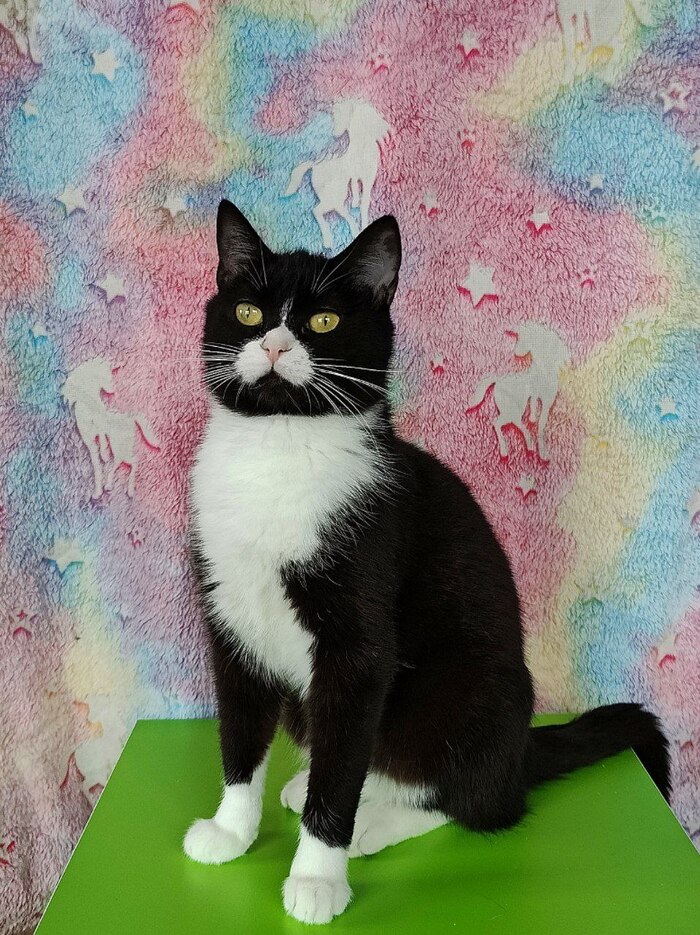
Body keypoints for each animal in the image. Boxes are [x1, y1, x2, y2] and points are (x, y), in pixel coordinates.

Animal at [183, 200, 669, 925]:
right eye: (246, 312)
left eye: (323, 322)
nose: (273, 346)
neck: (278, 447)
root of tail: (519, 749)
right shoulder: (230, 611)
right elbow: (240, 732)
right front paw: (231, 828)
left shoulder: (362, 628)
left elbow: (343, 765)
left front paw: (317, 877)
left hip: (465, 695)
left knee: (477, 801)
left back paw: (376, 822)